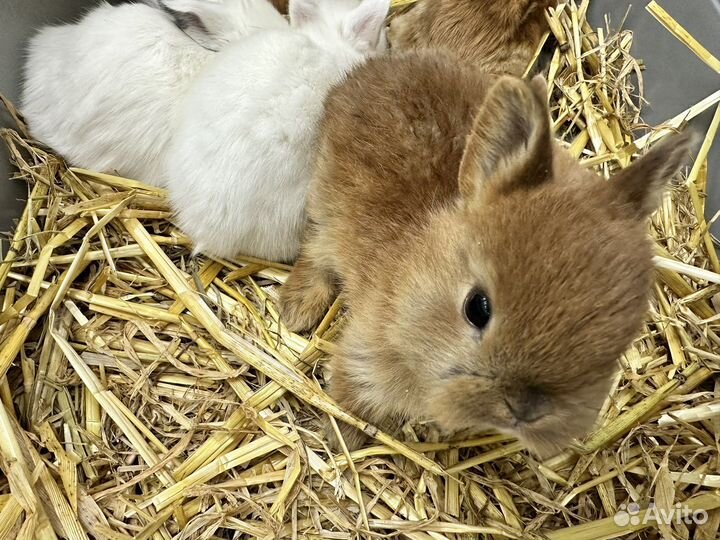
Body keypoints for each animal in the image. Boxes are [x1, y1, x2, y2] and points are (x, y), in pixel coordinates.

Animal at [279, 50, 695, 453]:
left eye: (616, 342)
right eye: (477, 308)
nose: (523, 410)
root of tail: (368, 70)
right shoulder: (365, 353)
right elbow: (354, 394)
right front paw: (341, 439)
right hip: (325, 207)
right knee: (316, 248)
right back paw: (296, 312)